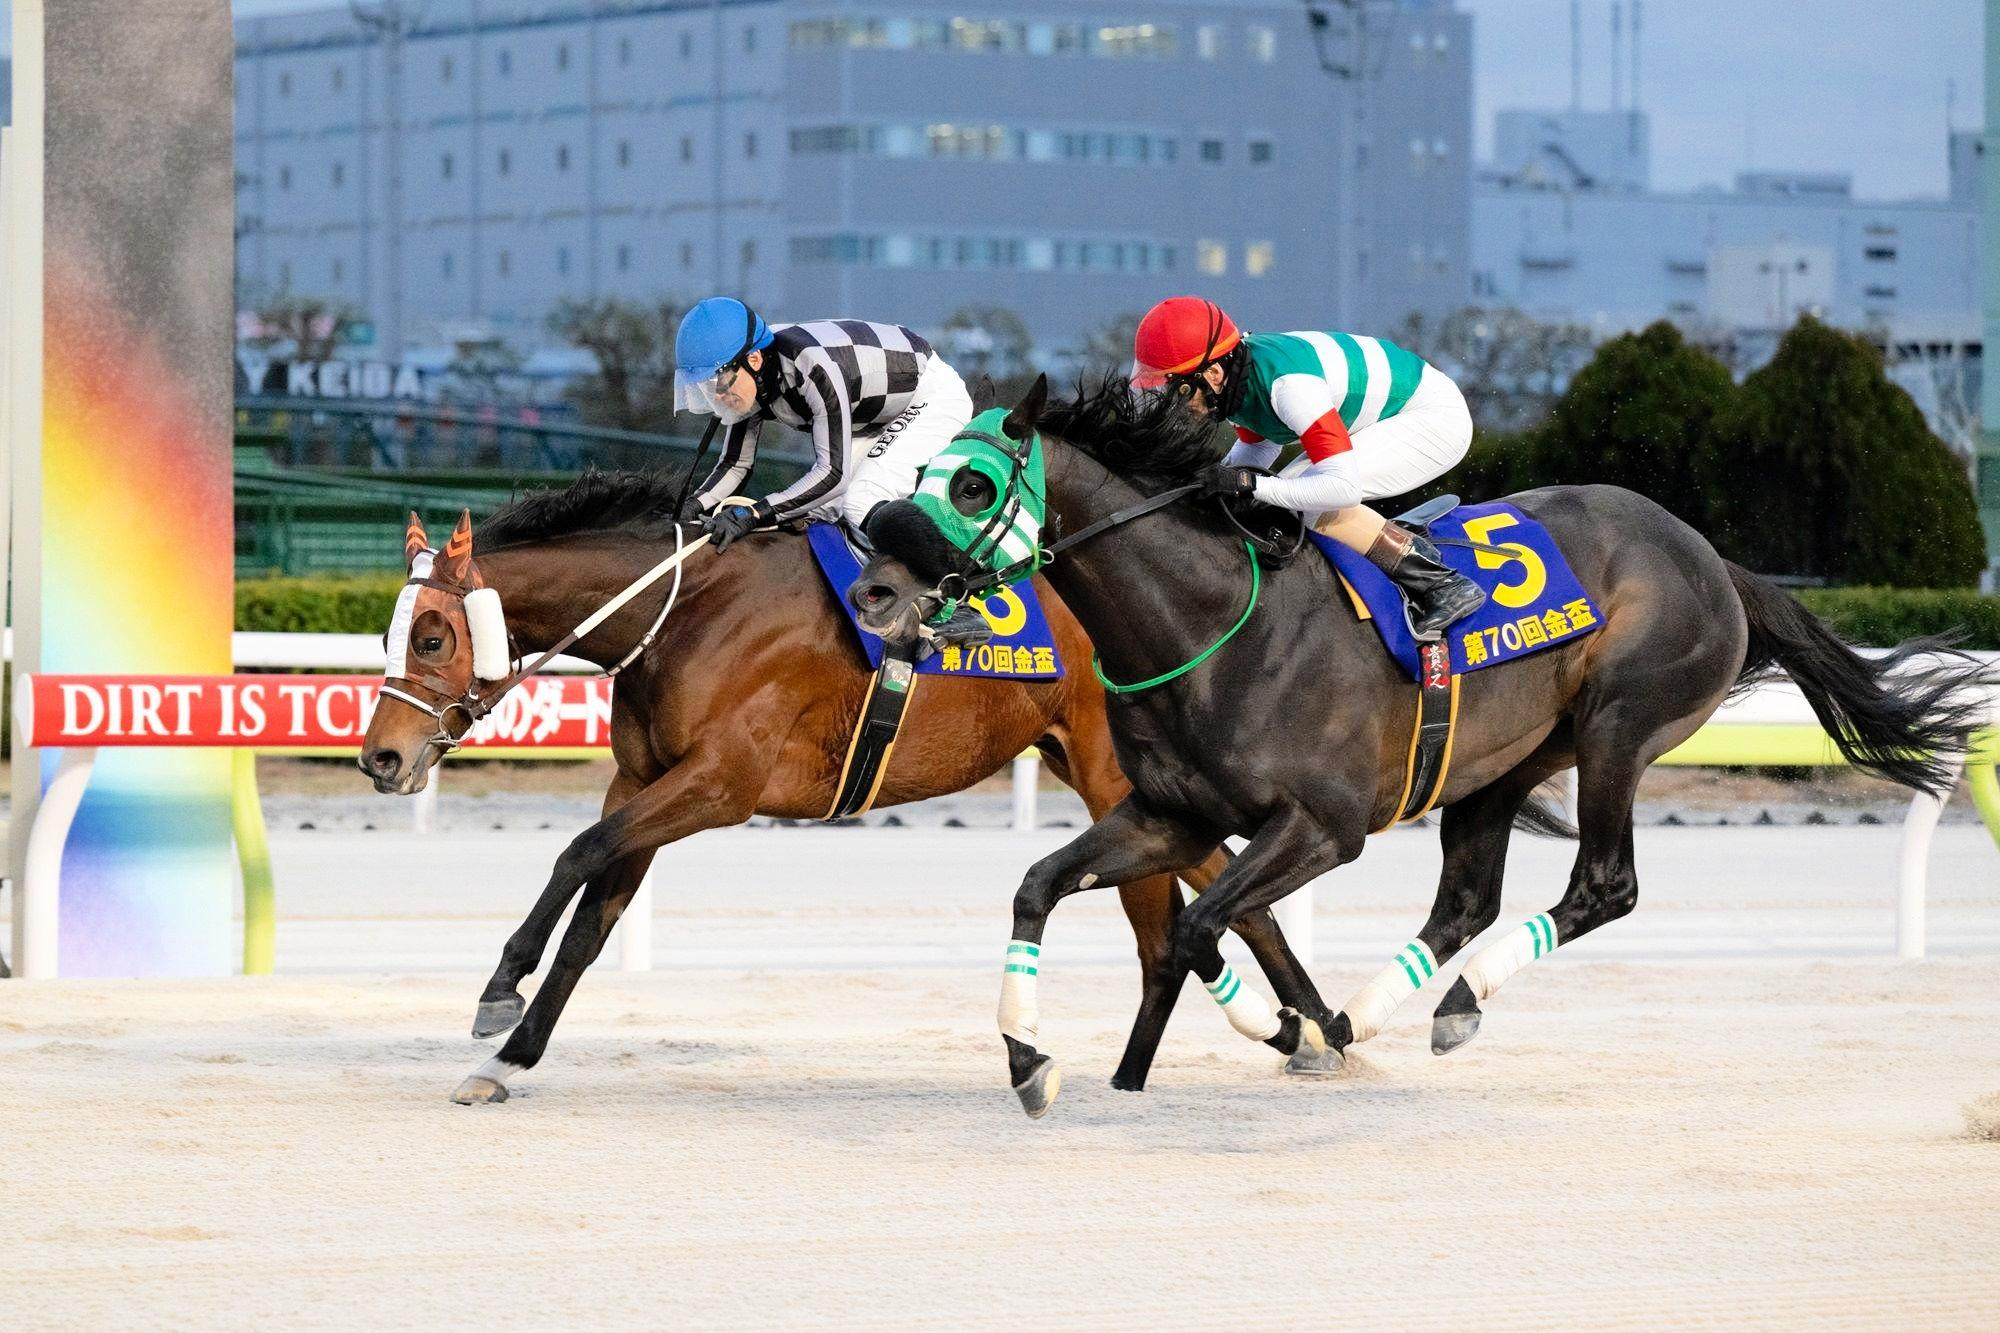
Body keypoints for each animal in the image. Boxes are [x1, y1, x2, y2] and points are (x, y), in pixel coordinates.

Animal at [357, 473, 1332, 1107]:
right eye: (388, 634)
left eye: (435, 636)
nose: (383, 759)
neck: (684, 610)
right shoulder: (642, 779)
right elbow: (592, 923)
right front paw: (506, 1061)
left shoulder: (719, 783)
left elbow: (575, 854)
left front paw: (499, 987)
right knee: (1234, 893)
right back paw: (1312, 1031)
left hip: (1109, 774)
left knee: (1175, 914)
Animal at [846, 374, 1994, 1116]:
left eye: (973, 486)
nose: (874, 591)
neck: (1210, 621)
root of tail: (1712, 556)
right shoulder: (1168, 812)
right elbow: (1044, 887)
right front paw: (1042, 1062)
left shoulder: (1322, 826)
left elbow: (1198, 931)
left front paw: (1267, 1033)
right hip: (1498, 763)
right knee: (1465, 904)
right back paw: (1369, 1016)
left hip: (1620, 726)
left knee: (1603, 885)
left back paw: (1445, 1009)